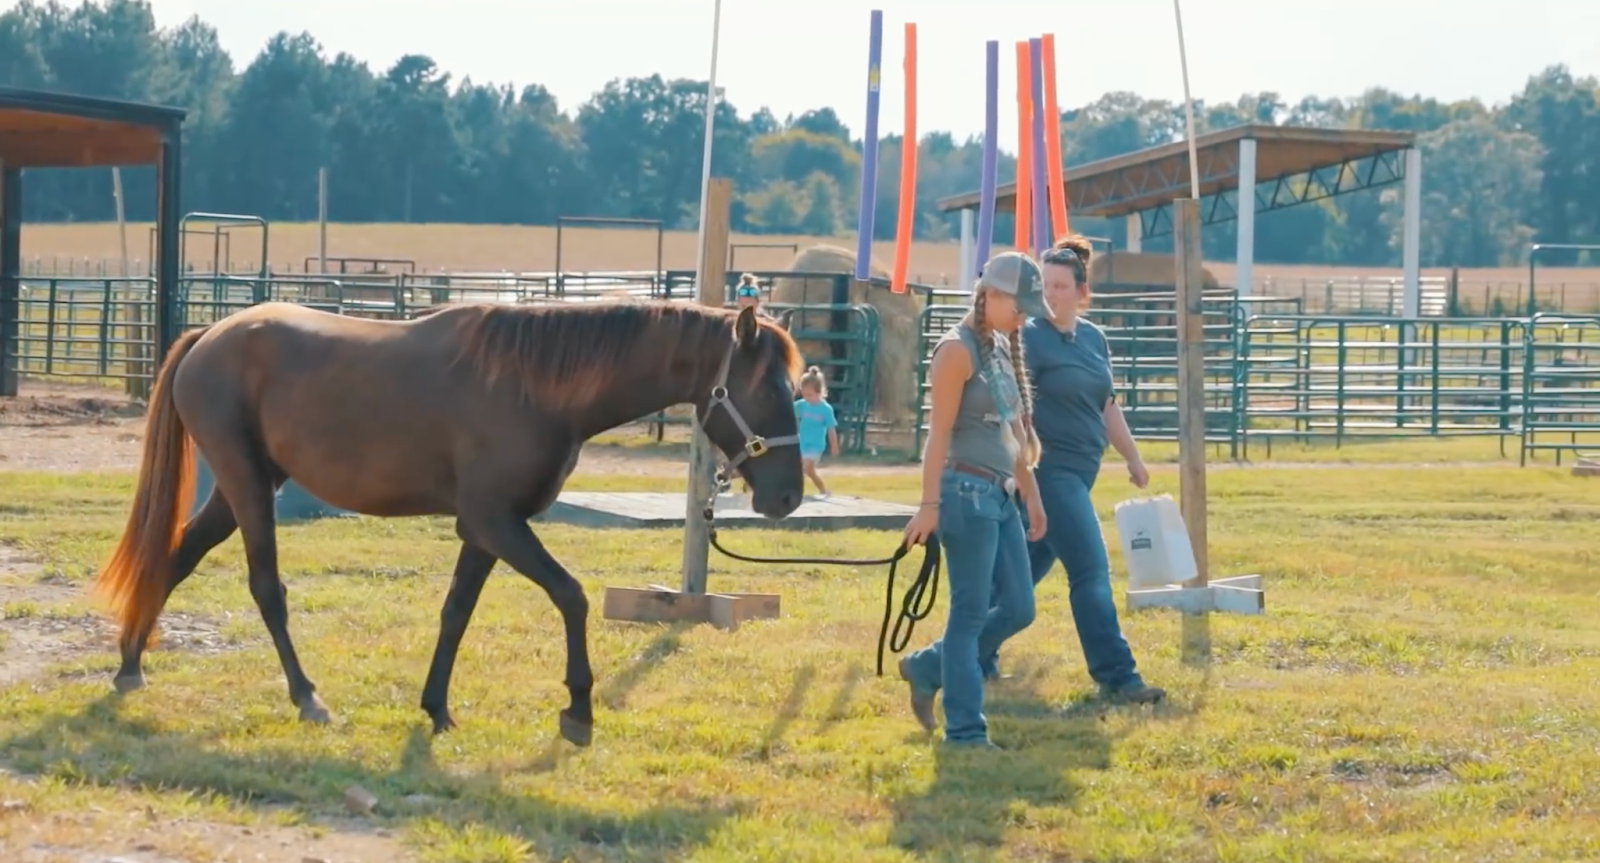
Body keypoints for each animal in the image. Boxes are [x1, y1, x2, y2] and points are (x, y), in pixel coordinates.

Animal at [93, 299, 807, 747]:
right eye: (769, 389)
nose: (788, 497)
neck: (534, 386)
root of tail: (208, 337)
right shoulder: (497, 521)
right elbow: (571, 596)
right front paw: (578, 710)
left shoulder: (484, 530)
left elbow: (456, 612)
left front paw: (436, 708)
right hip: (244, 483)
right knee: (266, 588)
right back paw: (307, 697)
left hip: (245, 485)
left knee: (175, 560)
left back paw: (129, 665)